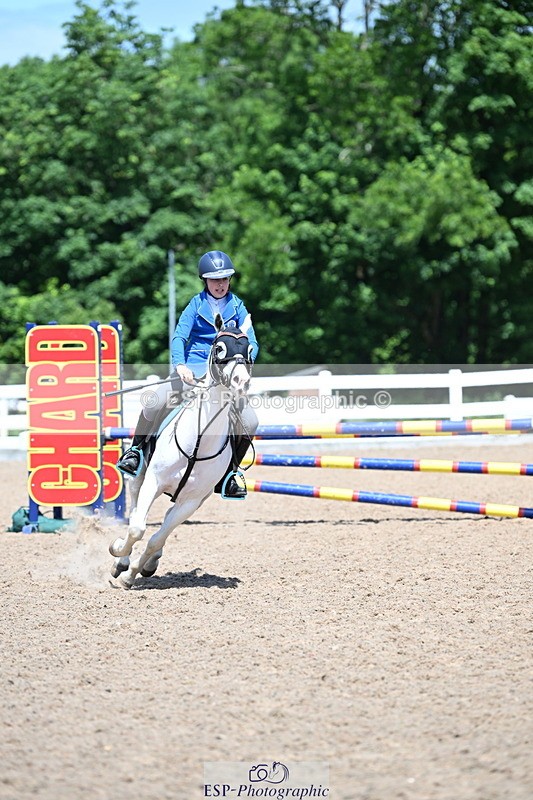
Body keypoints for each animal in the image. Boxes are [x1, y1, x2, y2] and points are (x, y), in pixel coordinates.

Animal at [109, 315, 253, 589]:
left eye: (250, 350)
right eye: (219, 348)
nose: (241, 382)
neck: (198, 442)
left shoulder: (191, 501)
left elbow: (157, 537)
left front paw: (131, 575)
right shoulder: (153, 481)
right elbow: (137, 528)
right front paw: (119, 553)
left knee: (164, 524)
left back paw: (149, 562)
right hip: (139, 479)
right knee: (135, 512)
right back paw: (121, 559)